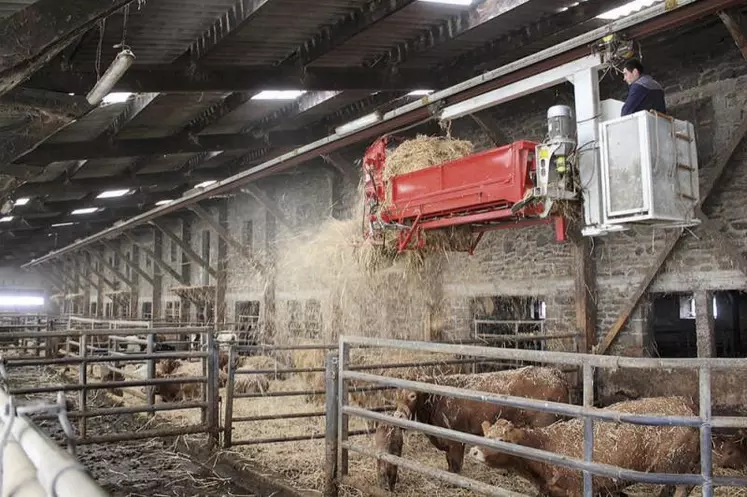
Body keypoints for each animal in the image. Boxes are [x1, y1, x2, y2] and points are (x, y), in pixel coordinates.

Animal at [392, 364, 568, 476]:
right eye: (396, 394)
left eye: (412, 395)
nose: (398, 416)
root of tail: (554, 373)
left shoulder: (456, 438)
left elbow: (455, 464)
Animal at [468, 396, 700, 496]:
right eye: (486, 435)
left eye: (501, 440)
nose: (474, 451)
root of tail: (683, 403)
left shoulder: (577, 489)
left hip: (675, 464)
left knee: (682, 486)